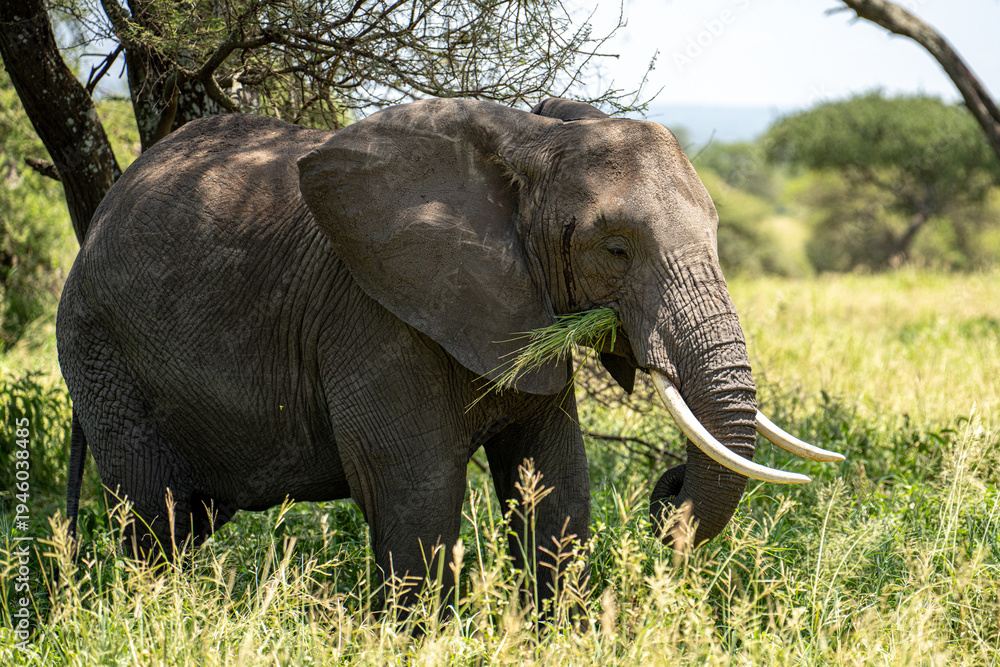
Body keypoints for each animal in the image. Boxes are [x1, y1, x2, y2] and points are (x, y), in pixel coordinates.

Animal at [57, 97, 842, 605]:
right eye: (616, 249)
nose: (667, 488)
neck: (533, 143)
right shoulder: (374, 314)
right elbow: (419, 492)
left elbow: (555, 481)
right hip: (101, 346)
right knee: (153, 519)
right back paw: (157, 617)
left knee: (187, 519)